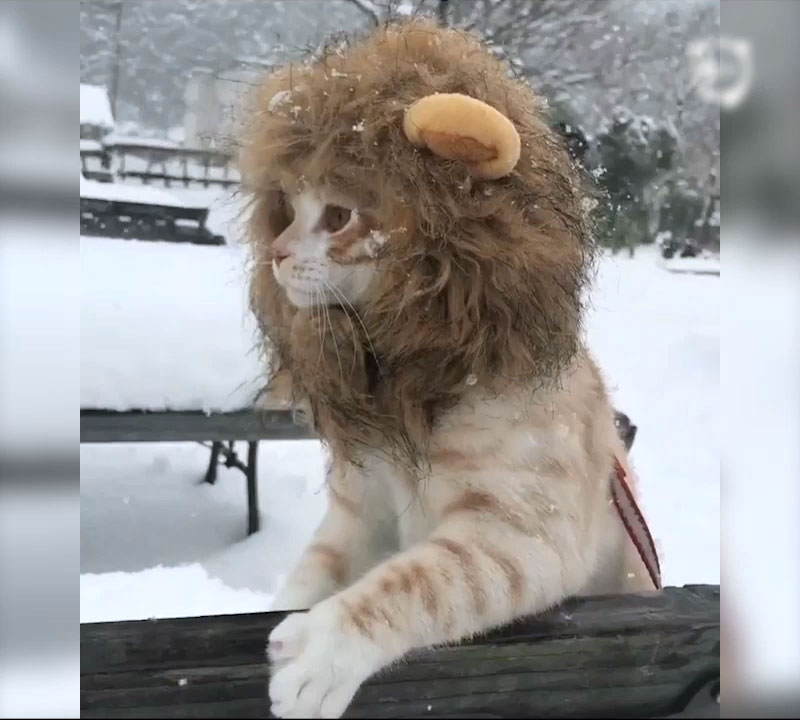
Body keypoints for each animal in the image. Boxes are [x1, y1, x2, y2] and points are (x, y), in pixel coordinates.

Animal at [238, 18, 660, 718]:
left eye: (337, 215)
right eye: (288, 208)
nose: (275, 252)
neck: (414, 395)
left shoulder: (519, 537)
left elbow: (415, 583)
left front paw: (320, 650)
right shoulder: (358, 514)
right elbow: (310, 573)